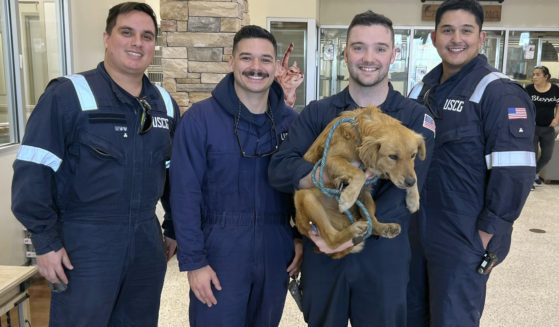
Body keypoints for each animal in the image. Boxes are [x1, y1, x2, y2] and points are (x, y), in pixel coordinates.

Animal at [296, 107, 426, 258]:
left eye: (413, 155)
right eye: (393, 156)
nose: (409, 183)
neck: (360, 132)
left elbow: (414, 172)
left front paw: (413, 199)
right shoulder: (330, 159)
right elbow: (359, 173)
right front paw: (347, 199)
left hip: (366, 196)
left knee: (372, 224)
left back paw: (385, 228)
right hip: (306, 197)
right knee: (331, 239)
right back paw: (354, 229)